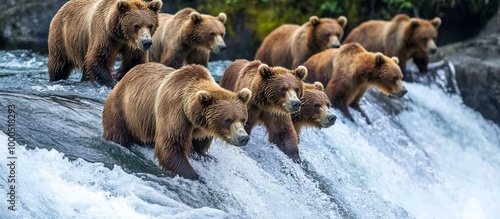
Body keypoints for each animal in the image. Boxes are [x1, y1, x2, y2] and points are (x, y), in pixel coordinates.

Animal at [101, 62, 252, 180]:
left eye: (243, 119)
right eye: (228, 120)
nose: (244, 138)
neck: (192, 114)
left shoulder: (200, 129)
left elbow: (199, 143)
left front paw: (205, 155)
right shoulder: (174, 111)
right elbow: (171, 146)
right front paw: (194, 175)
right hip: (123, 110)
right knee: (118, 132)